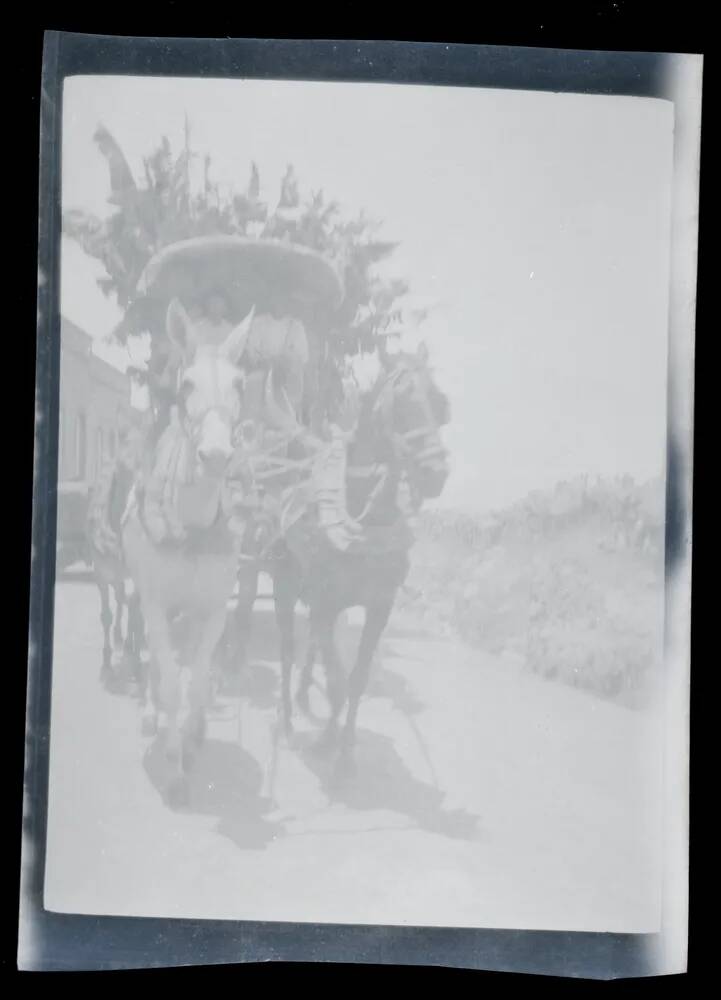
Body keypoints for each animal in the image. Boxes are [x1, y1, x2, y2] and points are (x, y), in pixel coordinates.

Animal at [124, 300, 256, 808]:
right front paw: (174, 770)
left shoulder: (213, 609)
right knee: (151, 656)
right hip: (142, 597)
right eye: (186, 384)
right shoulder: (159, 603)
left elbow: (198, 679)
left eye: (239, 384)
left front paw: (194, 737)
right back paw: (151, 715)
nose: (216, 455)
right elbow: (170, 683)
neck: (193, 530)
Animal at [231, 344, 448, 772]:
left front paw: (344, 747)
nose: (436, 472)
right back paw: (282, 714)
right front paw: (326, 742)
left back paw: (301, 697)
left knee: (310, 649)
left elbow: (356, 679)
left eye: (438, 401)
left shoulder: (378, 607)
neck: (364, 515)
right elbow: (336, 681)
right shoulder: (325, 604)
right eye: (402, 399)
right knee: (284, 645)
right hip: (275, 580)